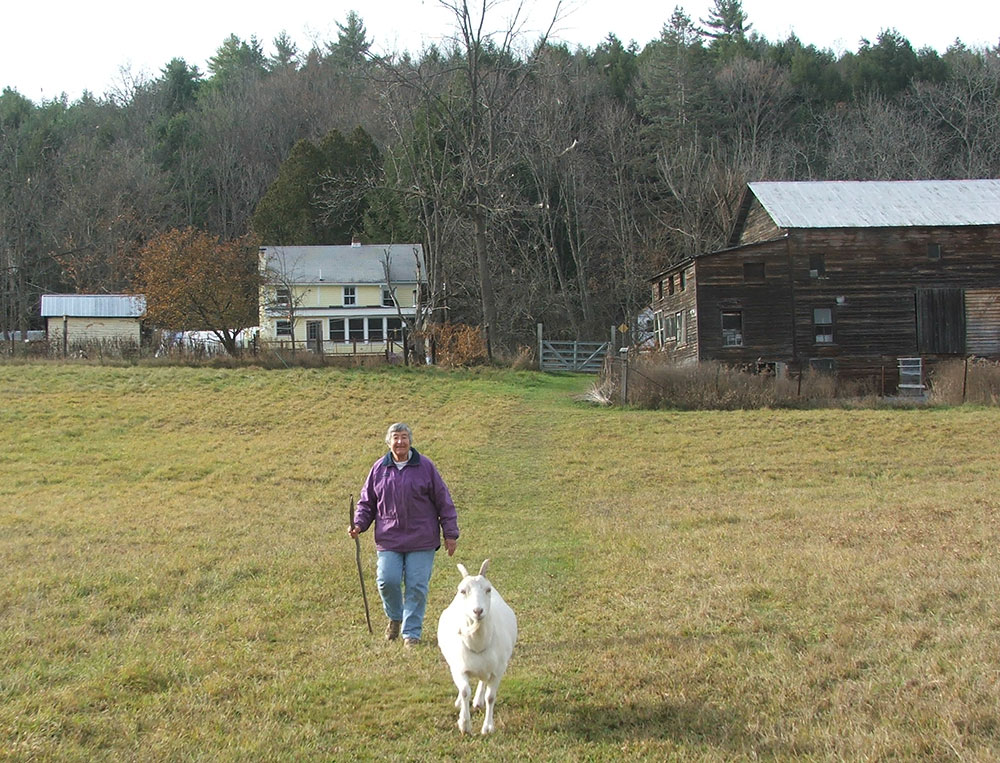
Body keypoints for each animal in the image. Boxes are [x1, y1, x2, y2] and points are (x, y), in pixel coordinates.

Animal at [436, 560, 516, 736]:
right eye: (462, 591)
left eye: (488, 589)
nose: (478, 611)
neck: (478, 643)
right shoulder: (459, 669)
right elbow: (465, 691)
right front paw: (464, 724)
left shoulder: (498, 670)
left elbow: (490, 697)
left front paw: (488, 727)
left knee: (482, 681)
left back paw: (478, 701)